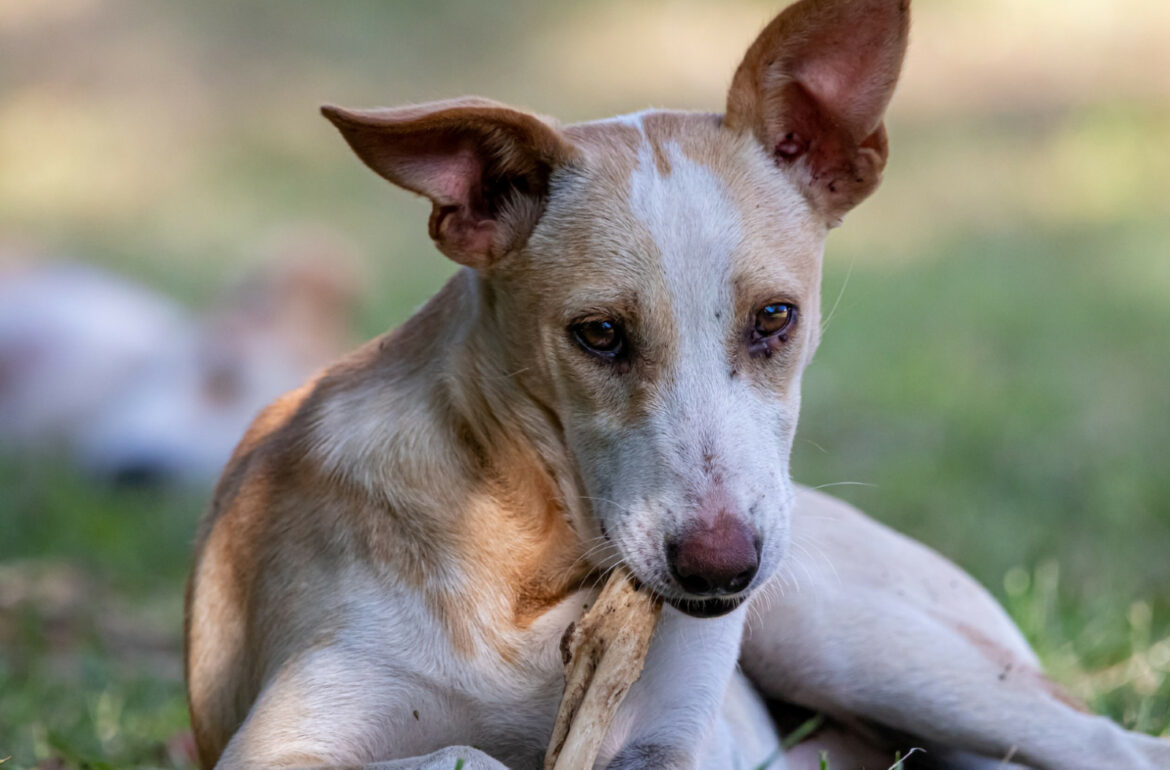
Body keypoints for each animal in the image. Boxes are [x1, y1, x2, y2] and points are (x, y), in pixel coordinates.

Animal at [184, 0, 1170, 762]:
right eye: (599, 335)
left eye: (774, 318)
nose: (719, 568)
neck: (531, 555)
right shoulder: (282, 743)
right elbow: (462, 752)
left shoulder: (672, 735)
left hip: (845, 633)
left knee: (1113, 744)